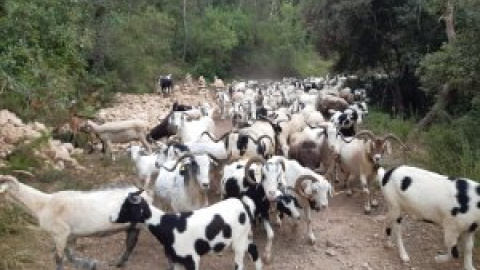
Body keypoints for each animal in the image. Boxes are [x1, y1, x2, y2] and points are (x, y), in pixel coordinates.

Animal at [0, 175, 152, 270]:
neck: (43, 204)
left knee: (131, 243)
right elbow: (69, 255)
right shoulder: (70, 235)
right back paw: (120, 263)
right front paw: (88, 264)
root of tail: (145, 194)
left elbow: (59, 258)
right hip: (133, 226)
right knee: (130, 243)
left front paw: (88, 264)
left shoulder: (60, 234)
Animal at [109, 190, 262, 270]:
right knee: (253, 249)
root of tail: (244, 204)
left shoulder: (191, 258)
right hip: (243, 236)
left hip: (239, 239)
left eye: (125, 208)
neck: (168, 226)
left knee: (240, 263)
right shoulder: (176, 259)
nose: (110, 217)